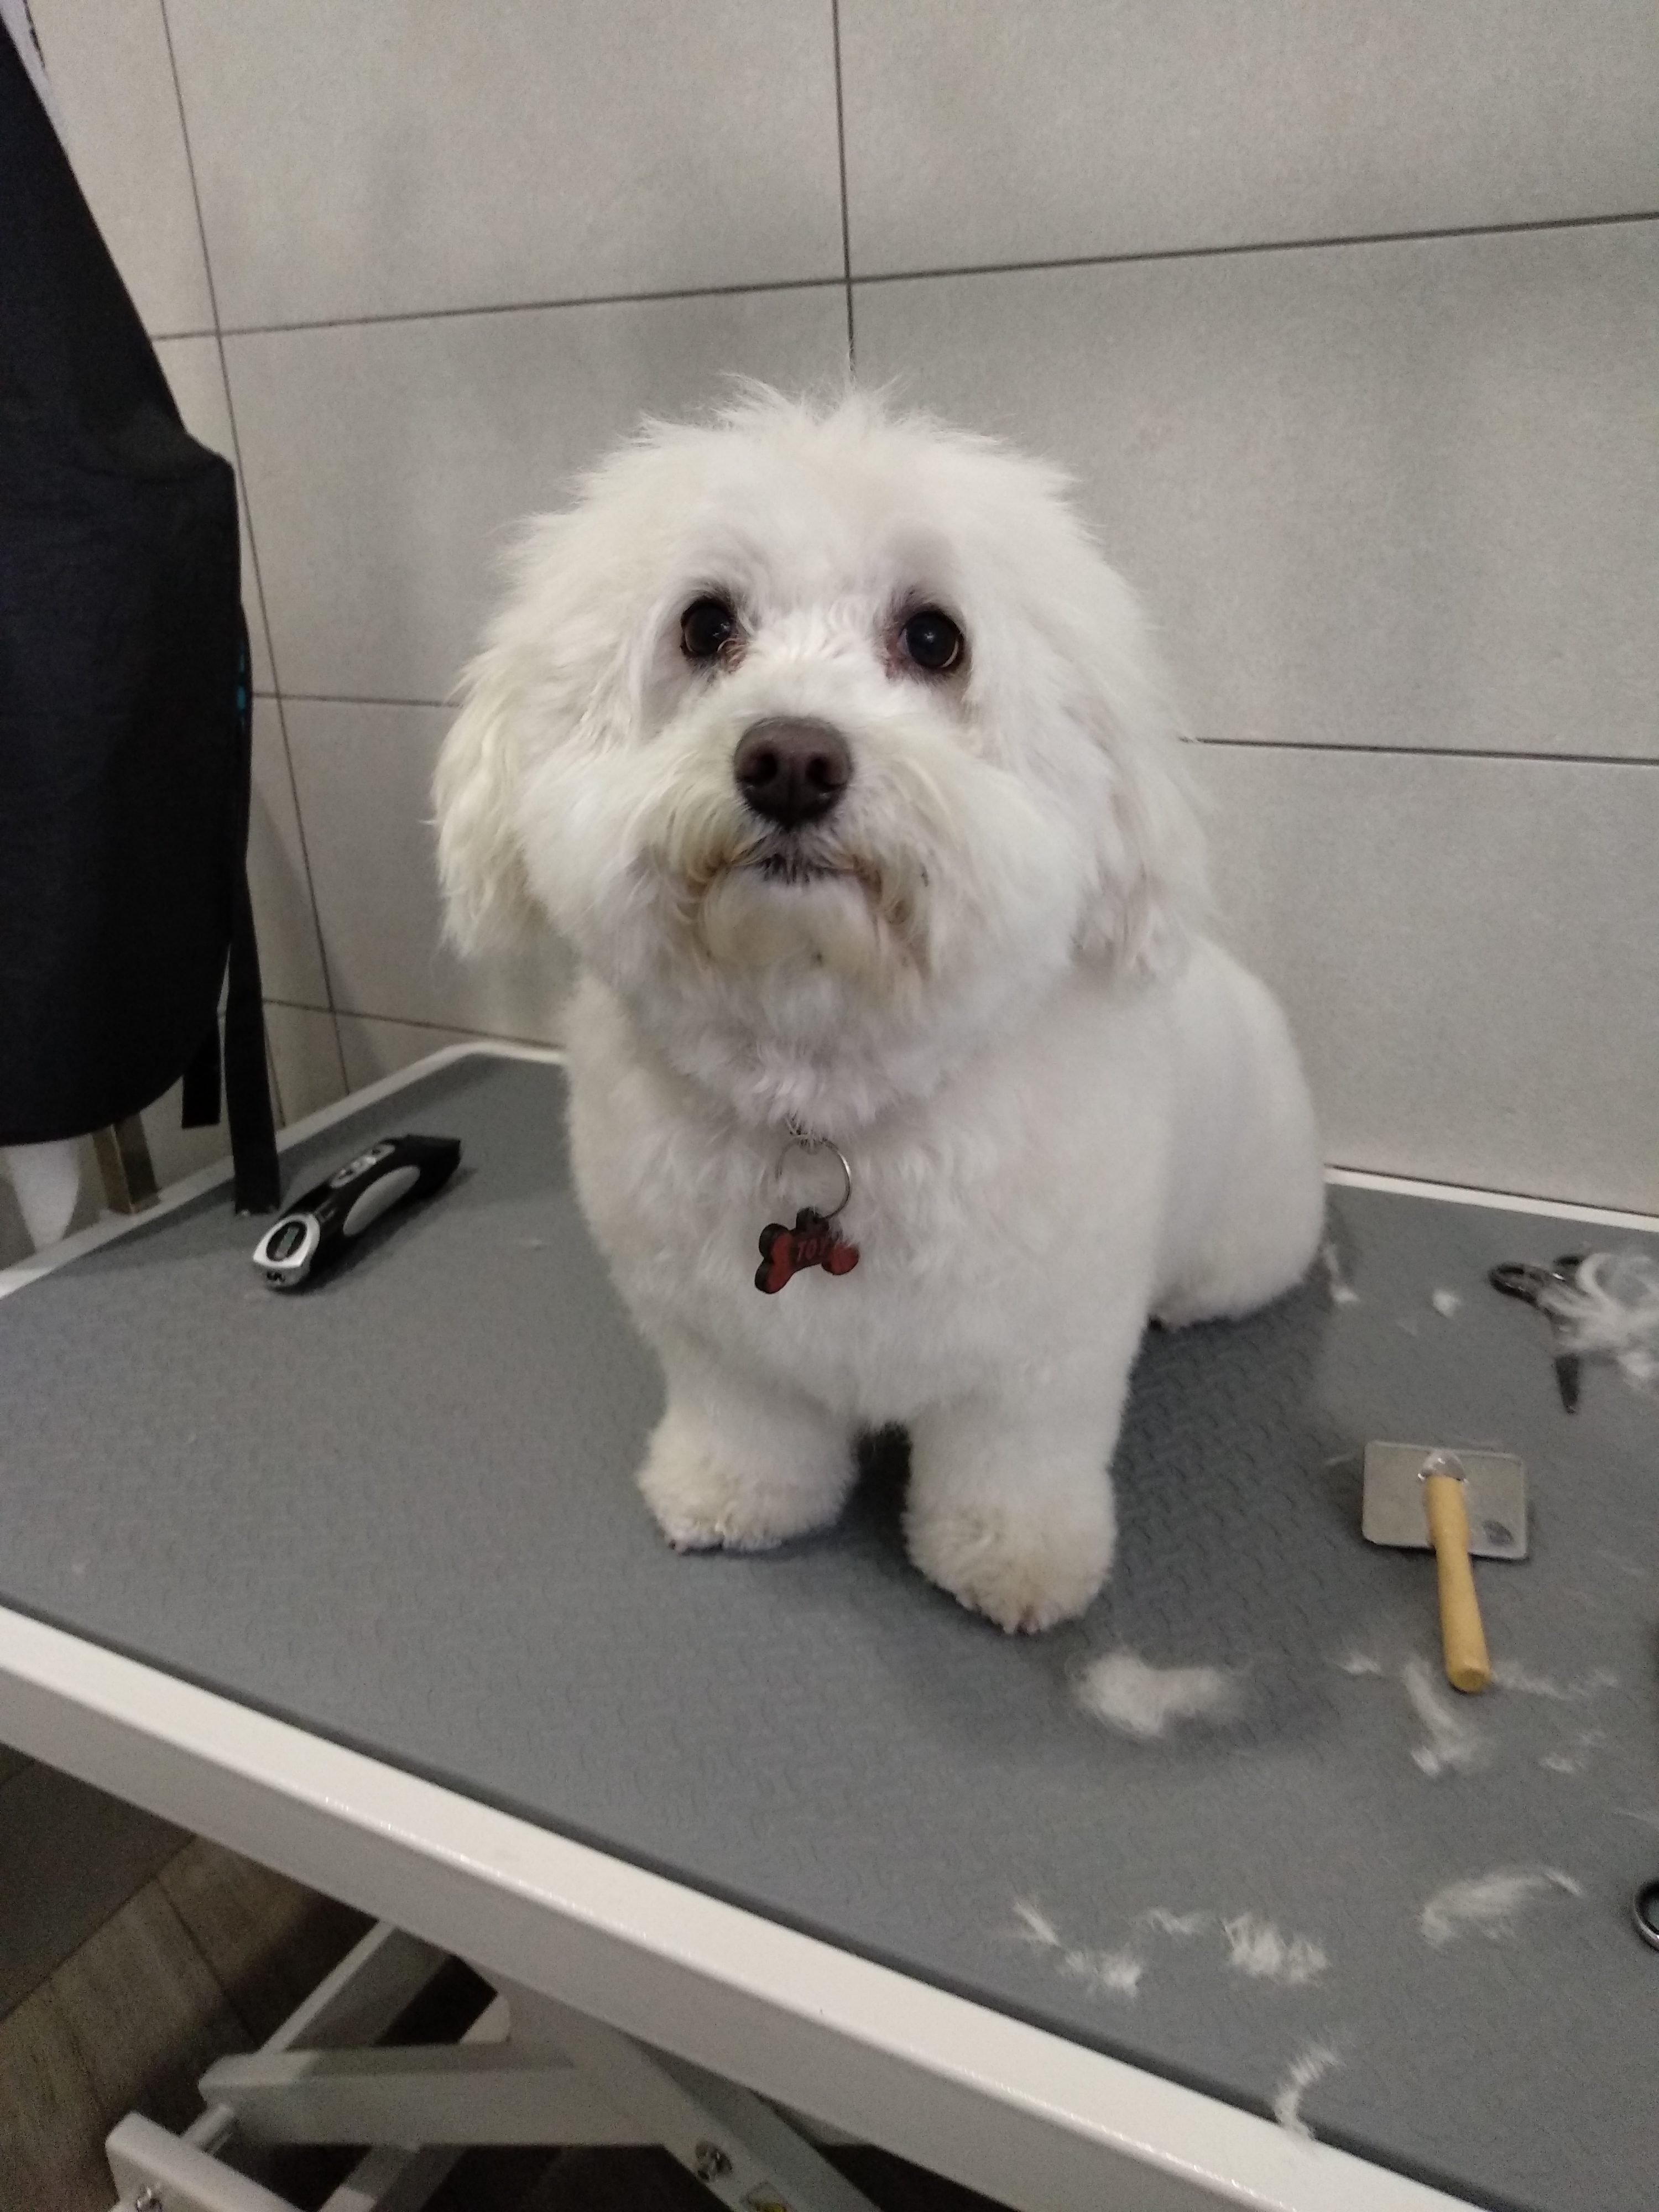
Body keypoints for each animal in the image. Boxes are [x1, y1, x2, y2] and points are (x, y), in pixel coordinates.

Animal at [434, 389, 1324, 1632]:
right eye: (704, 627)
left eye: (935, 638)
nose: (791, 759)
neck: (827, 1097)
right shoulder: (719, 1338)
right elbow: (750, 1424)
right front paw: (734, 1496)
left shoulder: (1038, 1361)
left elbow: (1014, 1466)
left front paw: (1015, 1561)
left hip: (1245, 1237)